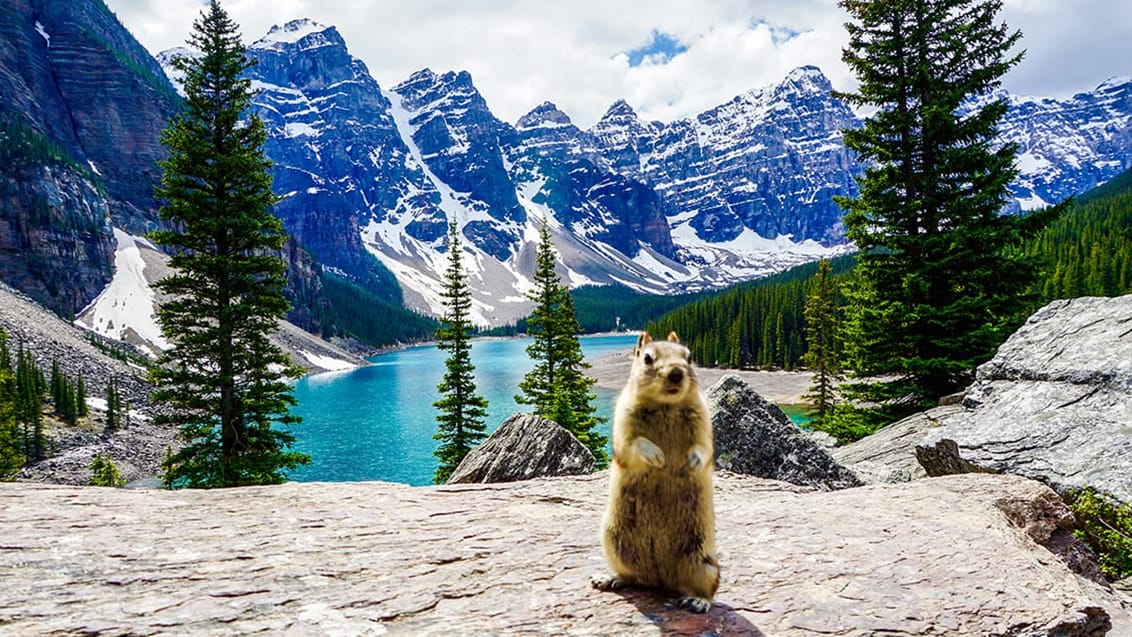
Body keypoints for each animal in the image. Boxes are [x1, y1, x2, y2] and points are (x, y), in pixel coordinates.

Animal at [593, 328, 715, 610]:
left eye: (689, 356)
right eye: (647, 358)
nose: (676, 373)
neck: (665, 405)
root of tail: (661, 581)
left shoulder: (703, 420)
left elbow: (704, 447)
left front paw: (690, 463)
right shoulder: (624, 420)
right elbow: (633, 443)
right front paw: (658, 457)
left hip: (703, 561)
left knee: (709, 588)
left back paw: (697, 601)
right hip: (613, 542)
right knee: (633, 577)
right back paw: (610, 578)